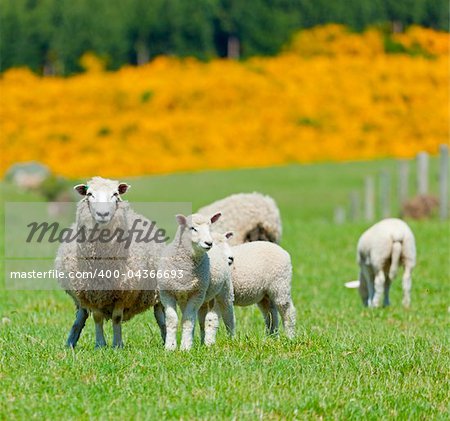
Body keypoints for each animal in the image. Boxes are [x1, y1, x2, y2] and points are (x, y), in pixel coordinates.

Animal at [56, 177, 165, 348]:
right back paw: (70, 343)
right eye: (89, 194)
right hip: (81, 296)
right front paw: (100, 345)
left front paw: (117, 345)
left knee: (160, 316)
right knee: (81, 316)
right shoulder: (92, 294)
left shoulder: (122, 293)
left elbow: (116, 318)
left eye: (115, 194)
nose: (103, 214)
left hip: (156, 292)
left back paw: (168, 339)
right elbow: (97, 318)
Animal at [158, 212, 230, 350]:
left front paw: (185, 347)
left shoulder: (197, 294)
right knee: (201, 320)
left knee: (228, 315)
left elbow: (188, 320)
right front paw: (170, 347)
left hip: (224, 291)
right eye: (193, 228)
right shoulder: (166, 293)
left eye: (209, 228)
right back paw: (202, 342)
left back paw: (229, 338)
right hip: (190, 299)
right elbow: (172, 320)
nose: (209, 243)